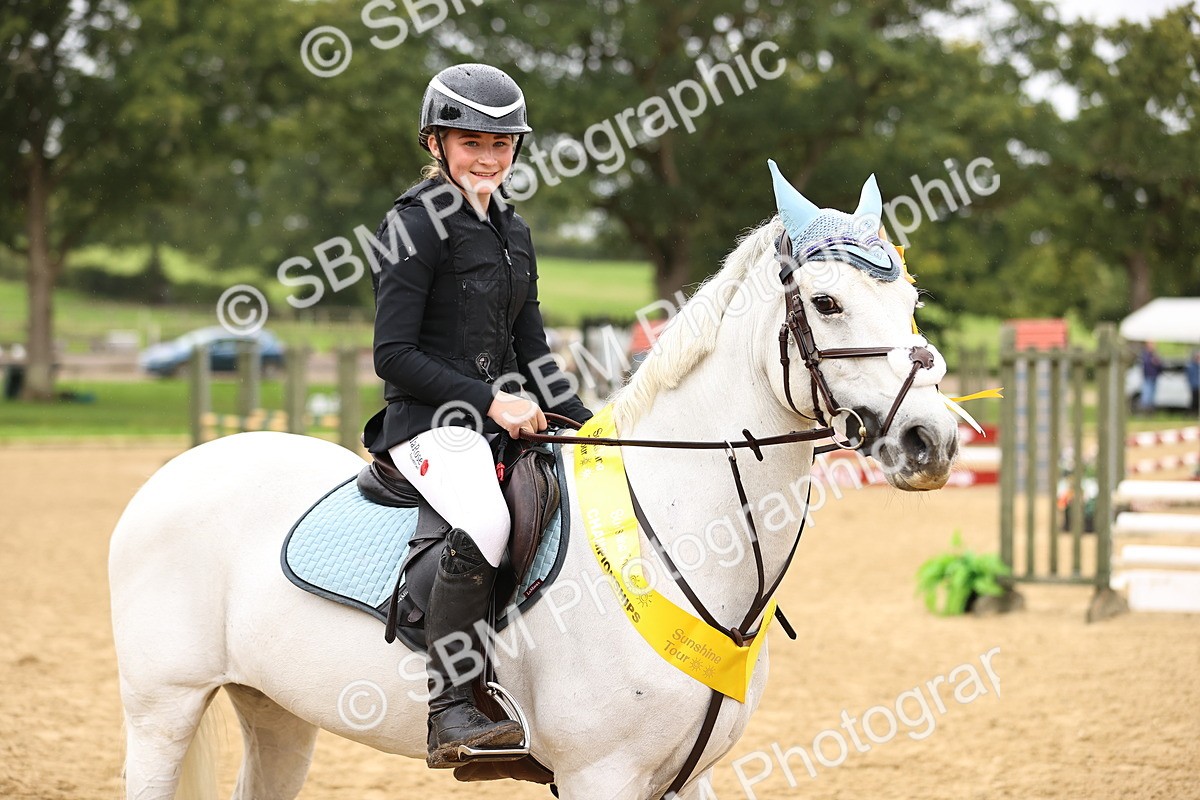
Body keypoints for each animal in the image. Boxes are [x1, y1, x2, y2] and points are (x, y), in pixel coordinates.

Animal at [109, 166, 960, 799]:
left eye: (912, 300)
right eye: (827, 302)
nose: (934, 440)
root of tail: (173, 473)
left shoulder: (686, 778)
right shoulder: (600, 776)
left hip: (277, 710)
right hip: (163, 709)